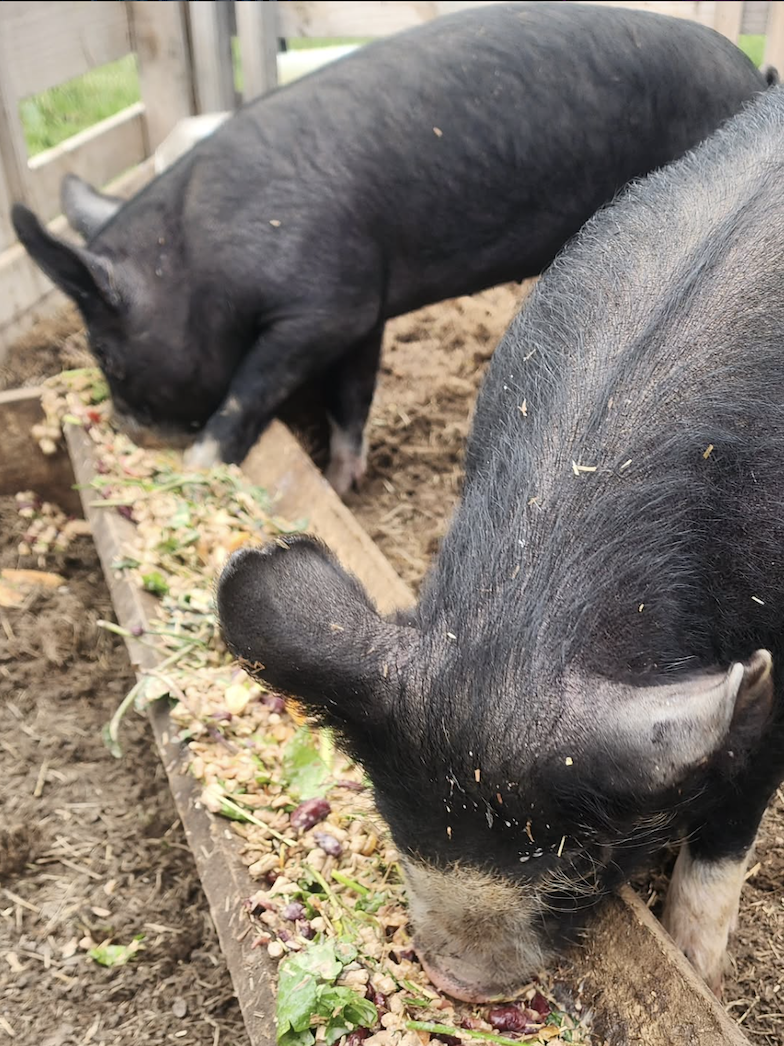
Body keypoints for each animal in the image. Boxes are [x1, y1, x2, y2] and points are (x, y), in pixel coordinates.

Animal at [11, 3, 777, 496]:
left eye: (105, 352)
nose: (123, 428)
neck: (201, 262)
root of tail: (754, 77)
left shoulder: (325, 306)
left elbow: (249, 388)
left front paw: (200, 466)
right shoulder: (363, 309)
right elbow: (351, 399)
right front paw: (342, 485)